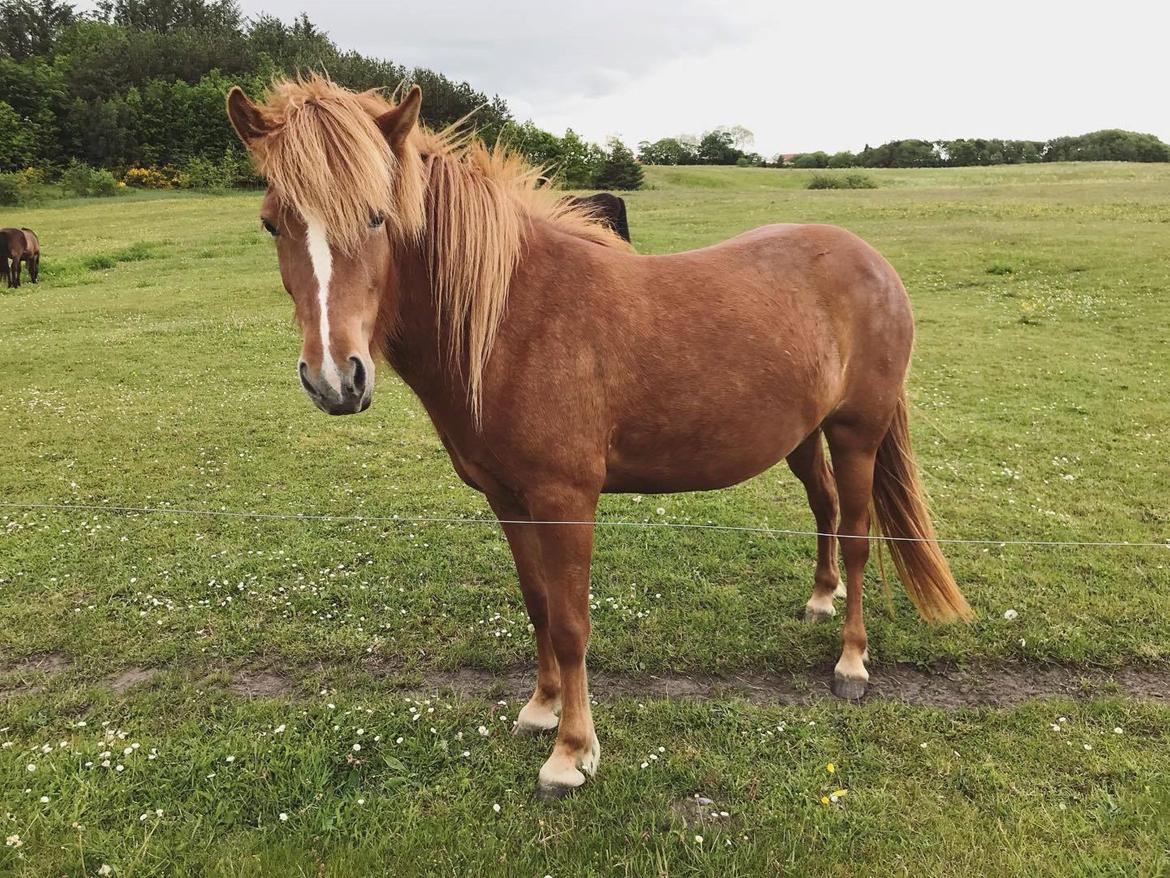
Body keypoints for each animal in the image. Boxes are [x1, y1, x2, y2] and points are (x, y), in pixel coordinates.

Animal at [225, 79, 968, 800]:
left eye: (378, 216)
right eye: (271, 224)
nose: (335, 378)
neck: (512, 318)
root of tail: (869, 259)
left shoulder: (566, 500)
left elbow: (572, 622)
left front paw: (572, 753)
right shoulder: (506, 499)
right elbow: (538, 607)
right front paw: (541, 708)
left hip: (856, 435)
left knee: (858, 537)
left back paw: (852, 662)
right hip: (802, 437)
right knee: (824, 509)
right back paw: (819, 600)